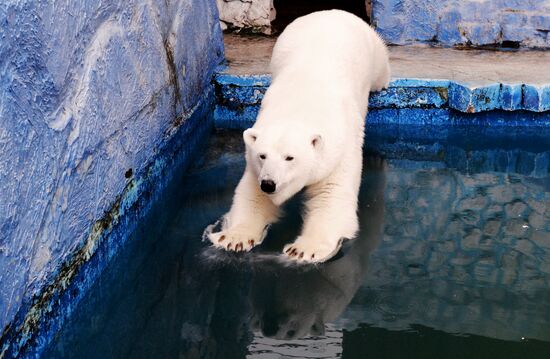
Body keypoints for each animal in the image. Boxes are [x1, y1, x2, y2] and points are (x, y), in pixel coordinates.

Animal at [208, 9, 392, 262]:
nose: (269, 184)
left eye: (290, 157)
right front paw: (235, 238)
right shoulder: (257, 163)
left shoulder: (340, 148)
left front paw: (304, 249)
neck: (301, 105)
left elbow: (330, 195)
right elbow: (252, 194)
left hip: (372, 50)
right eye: (262, 156)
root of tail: (331, 12)